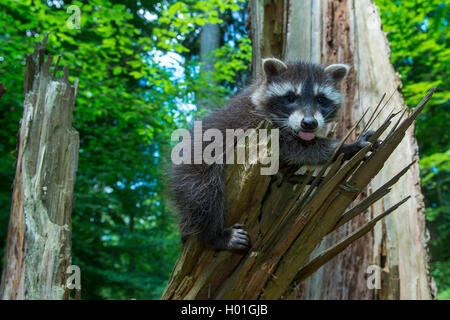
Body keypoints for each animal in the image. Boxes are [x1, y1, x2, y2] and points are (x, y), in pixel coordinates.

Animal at [171, 58, 374, 251]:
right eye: (290, 97)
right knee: (205, 194)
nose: (309, 124)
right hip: (194, 171)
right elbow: (301, 149)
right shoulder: (255, 124)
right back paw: (214, 235)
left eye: (321, 99)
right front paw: (344, 146)